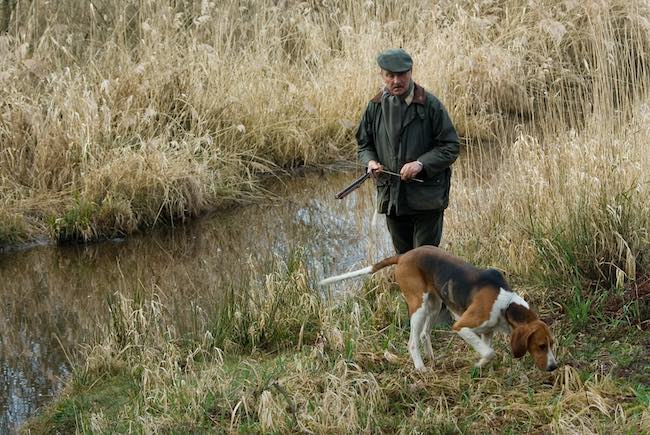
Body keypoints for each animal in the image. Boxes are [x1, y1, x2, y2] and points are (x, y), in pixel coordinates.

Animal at [316, 247, 556, 372]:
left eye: (552, 344)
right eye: (541, 346)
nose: (554, 367)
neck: (506, 304)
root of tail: (404, 255)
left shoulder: (487, 330)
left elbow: (487, 350)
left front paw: (479, 365)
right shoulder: (462, 326)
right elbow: (489, 351)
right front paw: (480, 362)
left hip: (434, 304)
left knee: (424, 334)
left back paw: (432, 359)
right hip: (419, 306)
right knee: (413, 341)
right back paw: (420, 367)